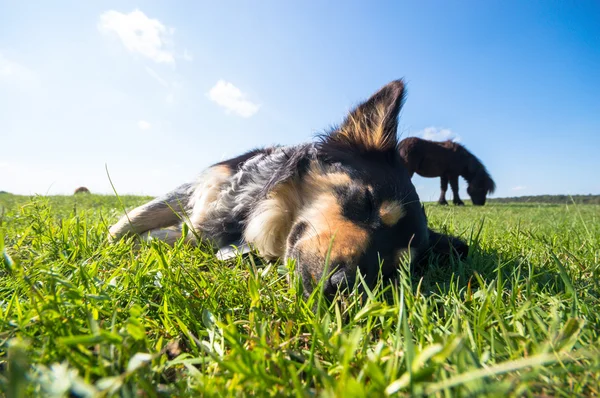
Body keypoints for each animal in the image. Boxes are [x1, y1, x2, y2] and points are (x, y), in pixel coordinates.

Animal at [110, 80, 472, 298]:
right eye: (367, 202)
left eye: (396, 266)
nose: (341, 287)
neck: (248, 219)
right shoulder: (205, 186)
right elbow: (135, 219)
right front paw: (111, 243)